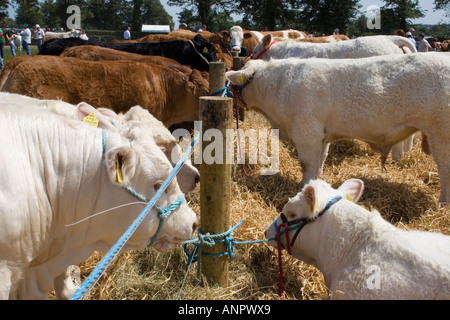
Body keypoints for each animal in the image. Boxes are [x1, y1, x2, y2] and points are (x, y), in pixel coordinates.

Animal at [227, 53, 450, 202]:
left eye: (236, 85)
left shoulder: (307, 132)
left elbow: (308, 165)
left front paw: (304, 189)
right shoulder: (321, 137)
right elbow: (320, 162)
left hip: (441, 134)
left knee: (445, 170)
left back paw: (442, 204)